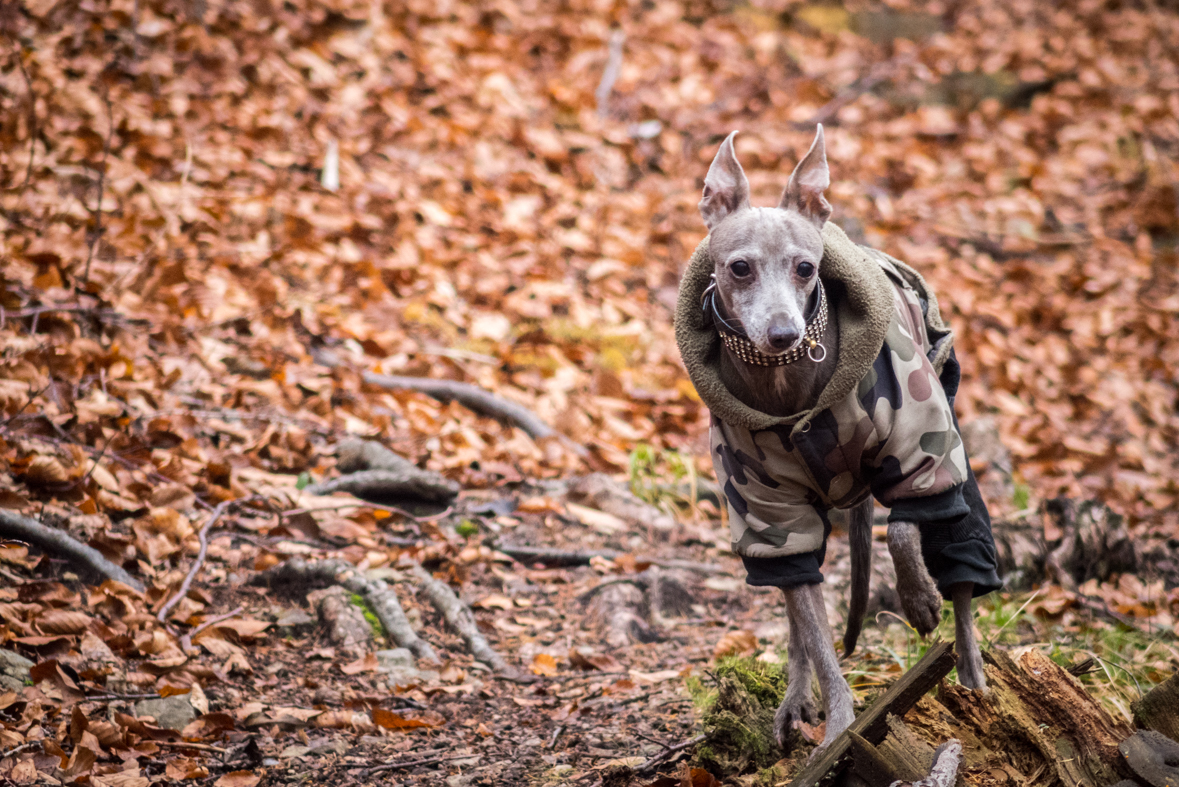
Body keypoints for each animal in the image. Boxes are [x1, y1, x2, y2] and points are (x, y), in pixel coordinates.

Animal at [679, 127, 999, 754]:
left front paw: (920, 600)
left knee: (962, 575)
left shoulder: (919, 453)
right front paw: (838, 728)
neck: (790, 391)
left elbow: (901, 527)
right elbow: (820, 641)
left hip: (952, 462)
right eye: (739, 268)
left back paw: (971, 677)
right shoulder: (770, 515)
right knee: (797, 616)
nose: (783, 333)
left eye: (806, 268)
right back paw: (794, 701)